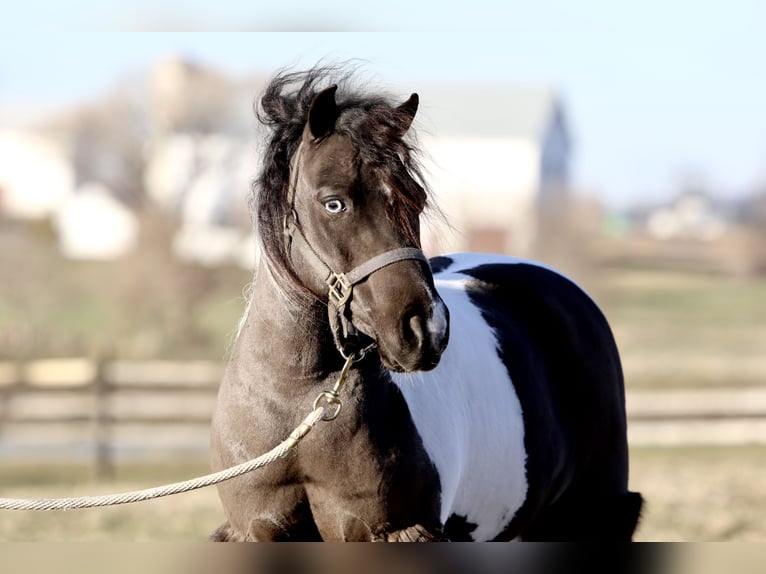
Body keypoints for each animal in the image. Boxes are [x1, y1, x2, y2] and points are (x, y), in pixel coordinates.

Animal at [208, 67, 640, 544]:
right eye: (333, 202)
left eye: (417, 198)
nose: (425, 331)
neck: (299, 406)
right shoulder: (256, 531)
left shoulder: (401, 532)